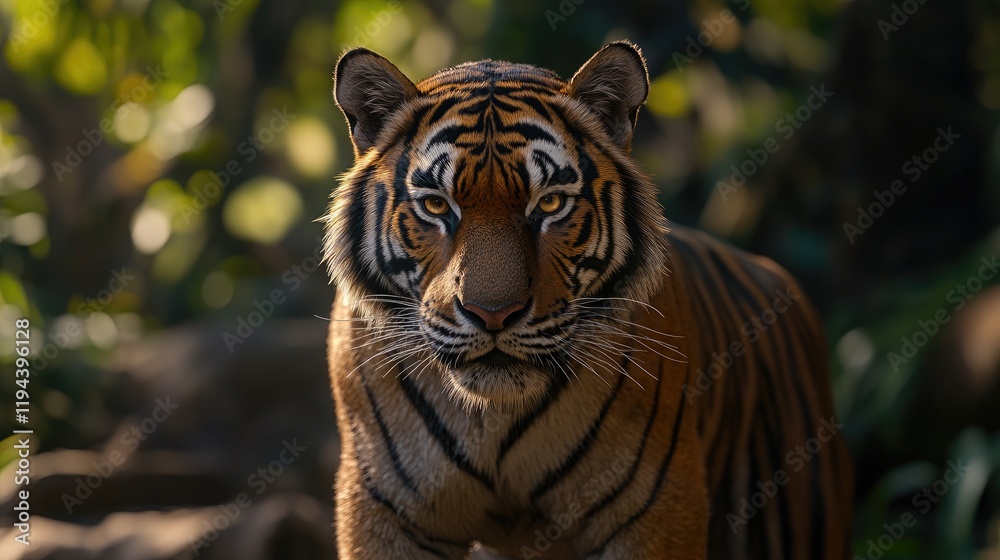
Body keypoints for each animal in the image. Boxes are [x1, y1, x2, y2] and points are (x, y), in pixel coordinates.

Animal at [322, 41, 853, 559]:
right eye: (436, 205)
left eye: (551, 204)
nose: (492, 315)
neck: (493, 417)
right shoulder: (388, 513)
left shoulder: (652, 511)